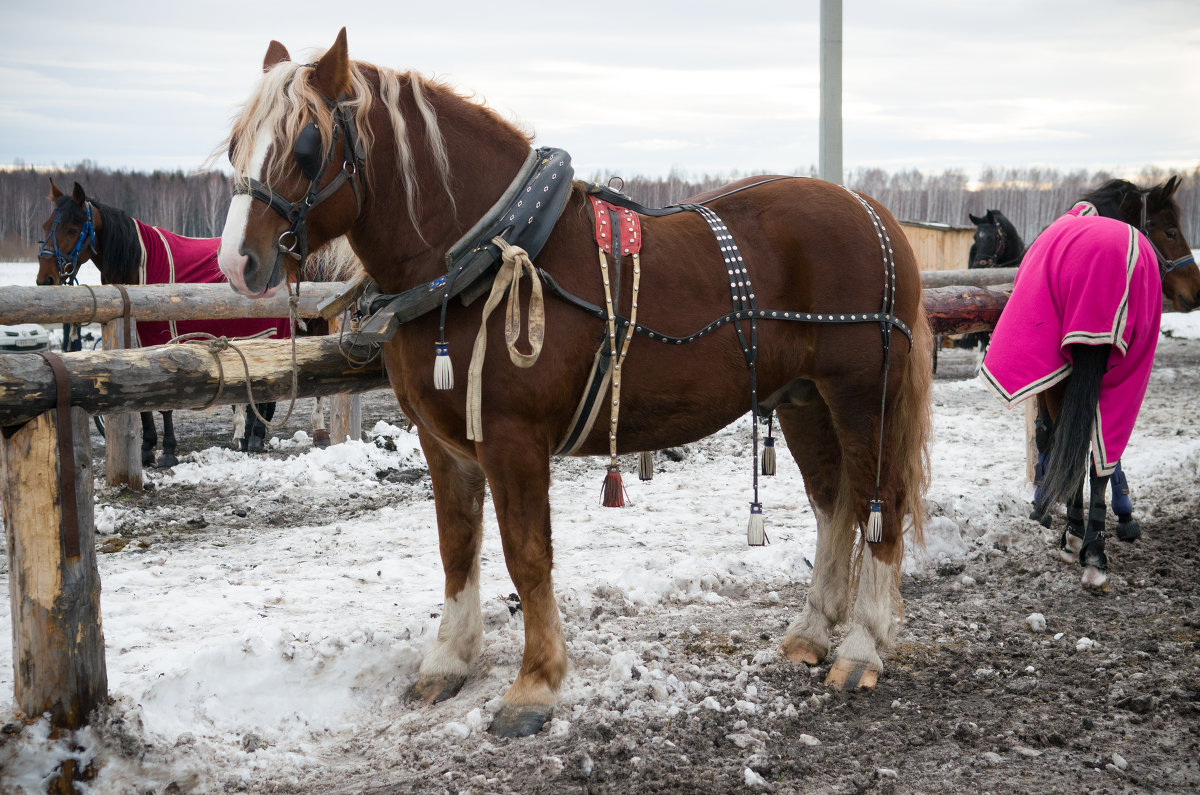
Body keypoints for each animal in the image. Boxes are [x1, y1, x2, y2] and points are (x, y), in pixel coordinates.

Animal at [213, 31, 926, 739]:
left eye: (307, 146)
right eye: (235, 143)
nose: (237, 262)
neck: (485, 255)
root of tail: (874, 212)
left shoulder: (513, 441)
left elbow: (526, 556)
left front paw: (534, 685)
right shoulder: (444, 444)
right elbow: (456, 547)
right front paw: (449, 660)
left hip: (862, 397)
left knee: (880, 503)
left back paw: (861, 649)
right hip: (805, 399)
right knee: (834, 503)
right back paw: (811, 633)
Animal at [984, 180, 1200, 590]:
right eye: (1170, 231)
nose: (1196, 291)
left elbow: (1061, 441)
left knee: (1082, 449)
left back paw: (1082, 543)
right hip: (1124, 369)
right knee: (1099, 453)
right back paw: (1093, 550)